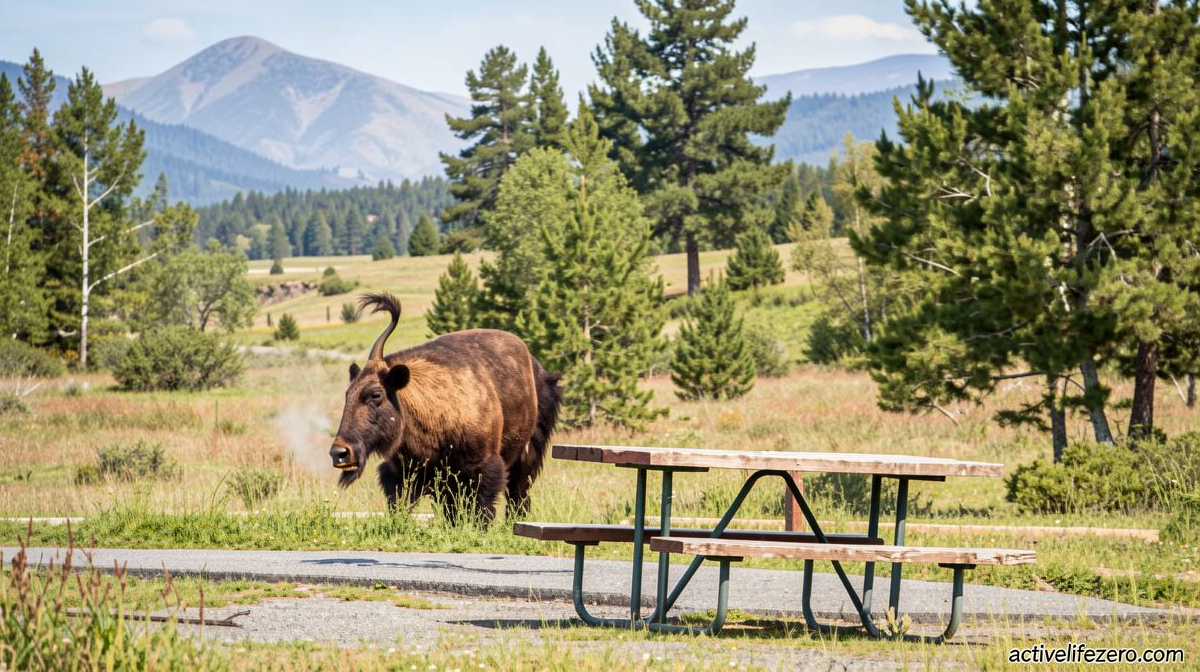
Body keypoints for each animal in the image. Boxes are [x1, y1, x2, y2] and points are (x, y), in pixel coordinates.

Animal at [329, 292, 561, 525]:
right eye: (348, 394)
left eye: (376, 394)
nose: (340, 453)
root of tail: (538, 368)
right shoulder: (408, 473)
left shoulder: (483, 468)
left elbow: (482, 509)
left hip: (528, 454)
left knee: (518, 493)